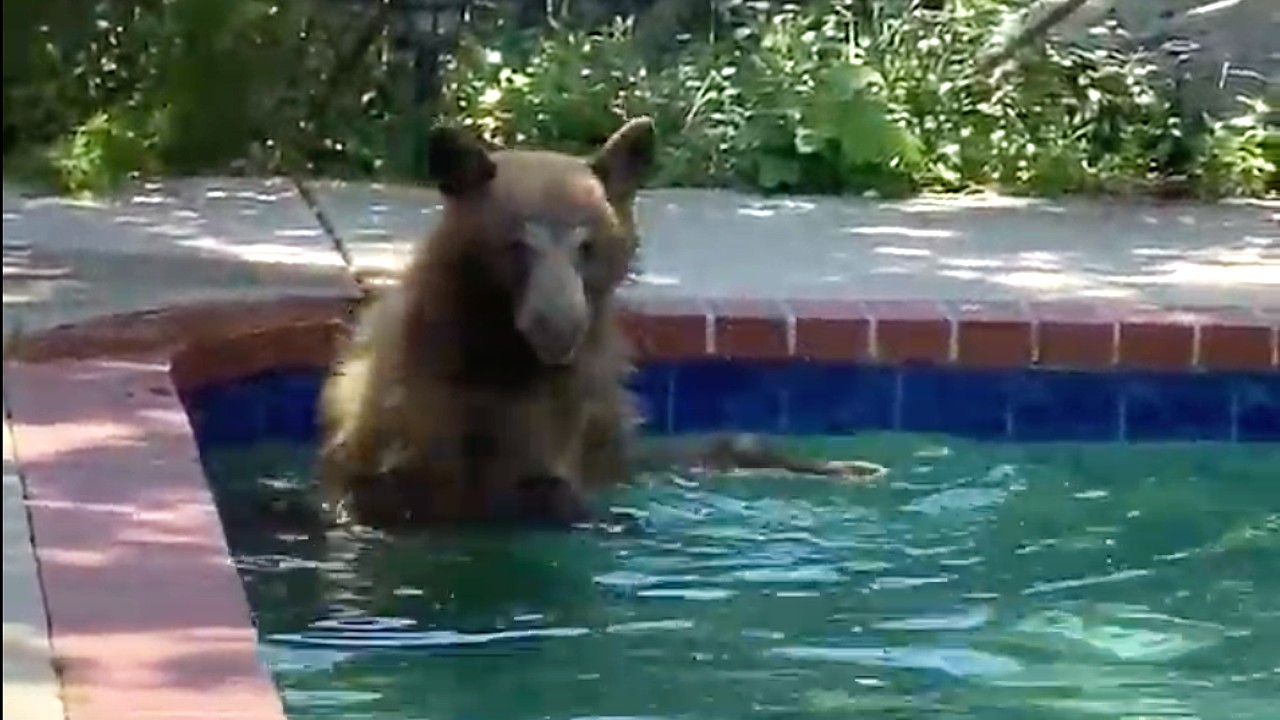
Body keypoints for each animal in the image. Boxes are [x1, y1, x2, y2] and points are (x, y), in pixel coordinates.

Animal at [314, 117, 885, 530]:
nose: (558, 324)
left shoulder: (572, 419)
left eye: (587, 245)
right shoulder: (419, 412)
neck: (508, 361)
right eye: (517, 244)